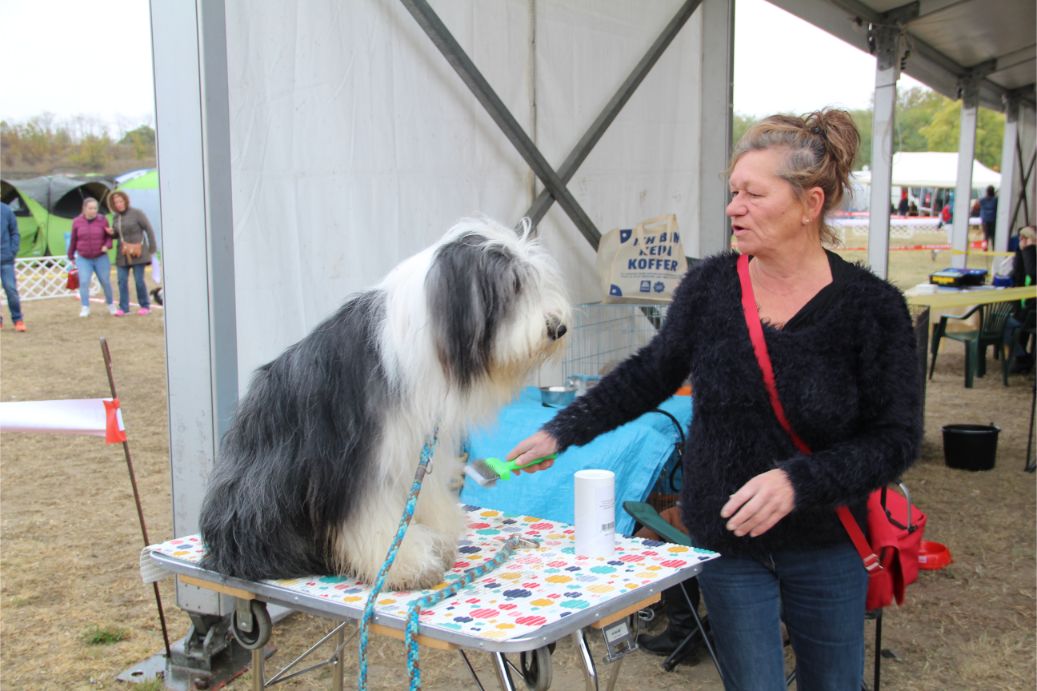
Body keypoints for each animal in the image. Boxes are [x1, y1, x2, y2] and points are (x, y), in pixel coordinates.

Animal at [199, 217, 569, 589]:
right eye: (515, 286)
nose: (558, 328)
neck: (426, 338)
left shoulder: (416, 445)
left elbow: (424, 497)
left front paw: (438, 539)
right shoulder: (360, 459)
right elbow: (375, 519)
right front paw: (407, 565)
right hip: (264, 496)